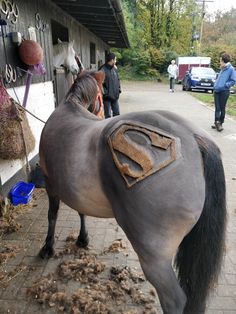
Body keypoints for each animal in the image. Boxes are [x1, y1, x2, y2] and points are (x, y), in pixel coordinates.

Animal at [39, 70, 227, 312]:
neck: (70, 106)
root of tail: (194, 138)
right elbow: (81, 212)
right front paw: (82, 239)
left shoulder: (50, 184)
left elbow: (52, 215)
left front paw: (48, 247)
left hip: (154, 257)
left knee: (174, 299)